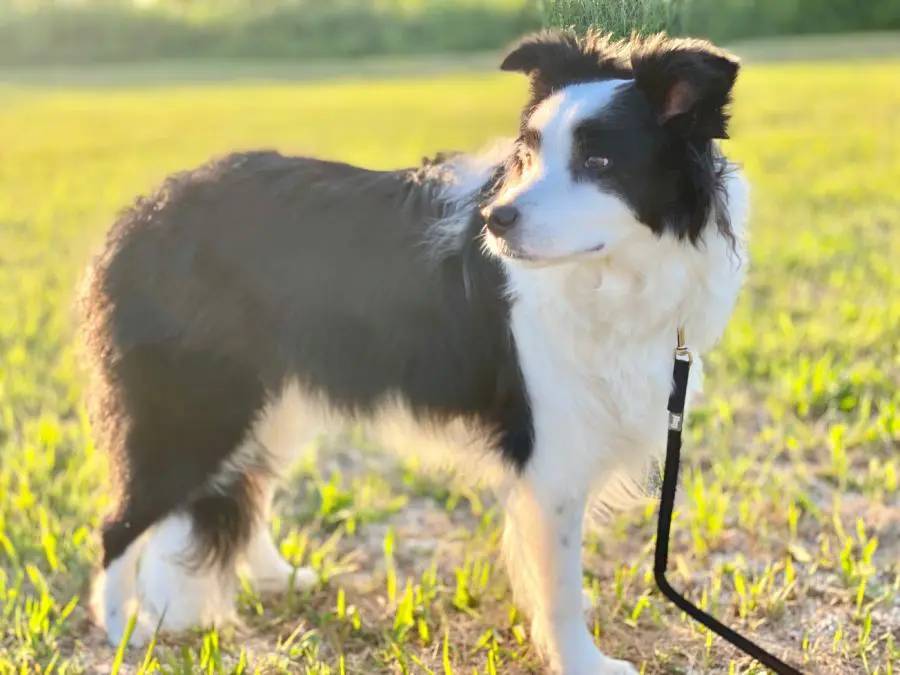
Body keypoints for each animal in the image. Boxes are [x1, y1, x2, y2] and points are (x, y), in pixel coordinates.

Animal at [82, 29, 744, 672]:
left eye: (599, 161)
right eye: (529, 156)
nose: (495, 220)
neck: (612, 273)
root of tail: (142, 215)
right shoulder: (550, 449)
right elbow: (558, 585)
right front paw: (582, 663)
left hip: (267, 403)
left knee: (244, 485)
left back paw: (276, 580)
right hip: (191, 409)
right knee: (122, 523)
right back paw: (123, 633)